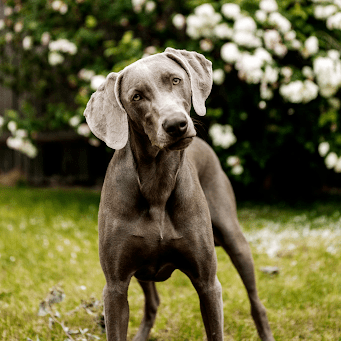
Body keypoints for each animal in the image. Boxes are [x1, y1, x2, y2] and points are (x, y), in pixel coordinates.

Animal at [84, 46, 274, 338]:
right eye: (136, 96)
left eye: (175, 80)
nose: (176, 124)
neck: (157, 183)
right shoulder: (115, 286)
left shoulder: (208, 282)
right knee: (152, 303)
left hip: (234, 238)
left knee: (256, 302)